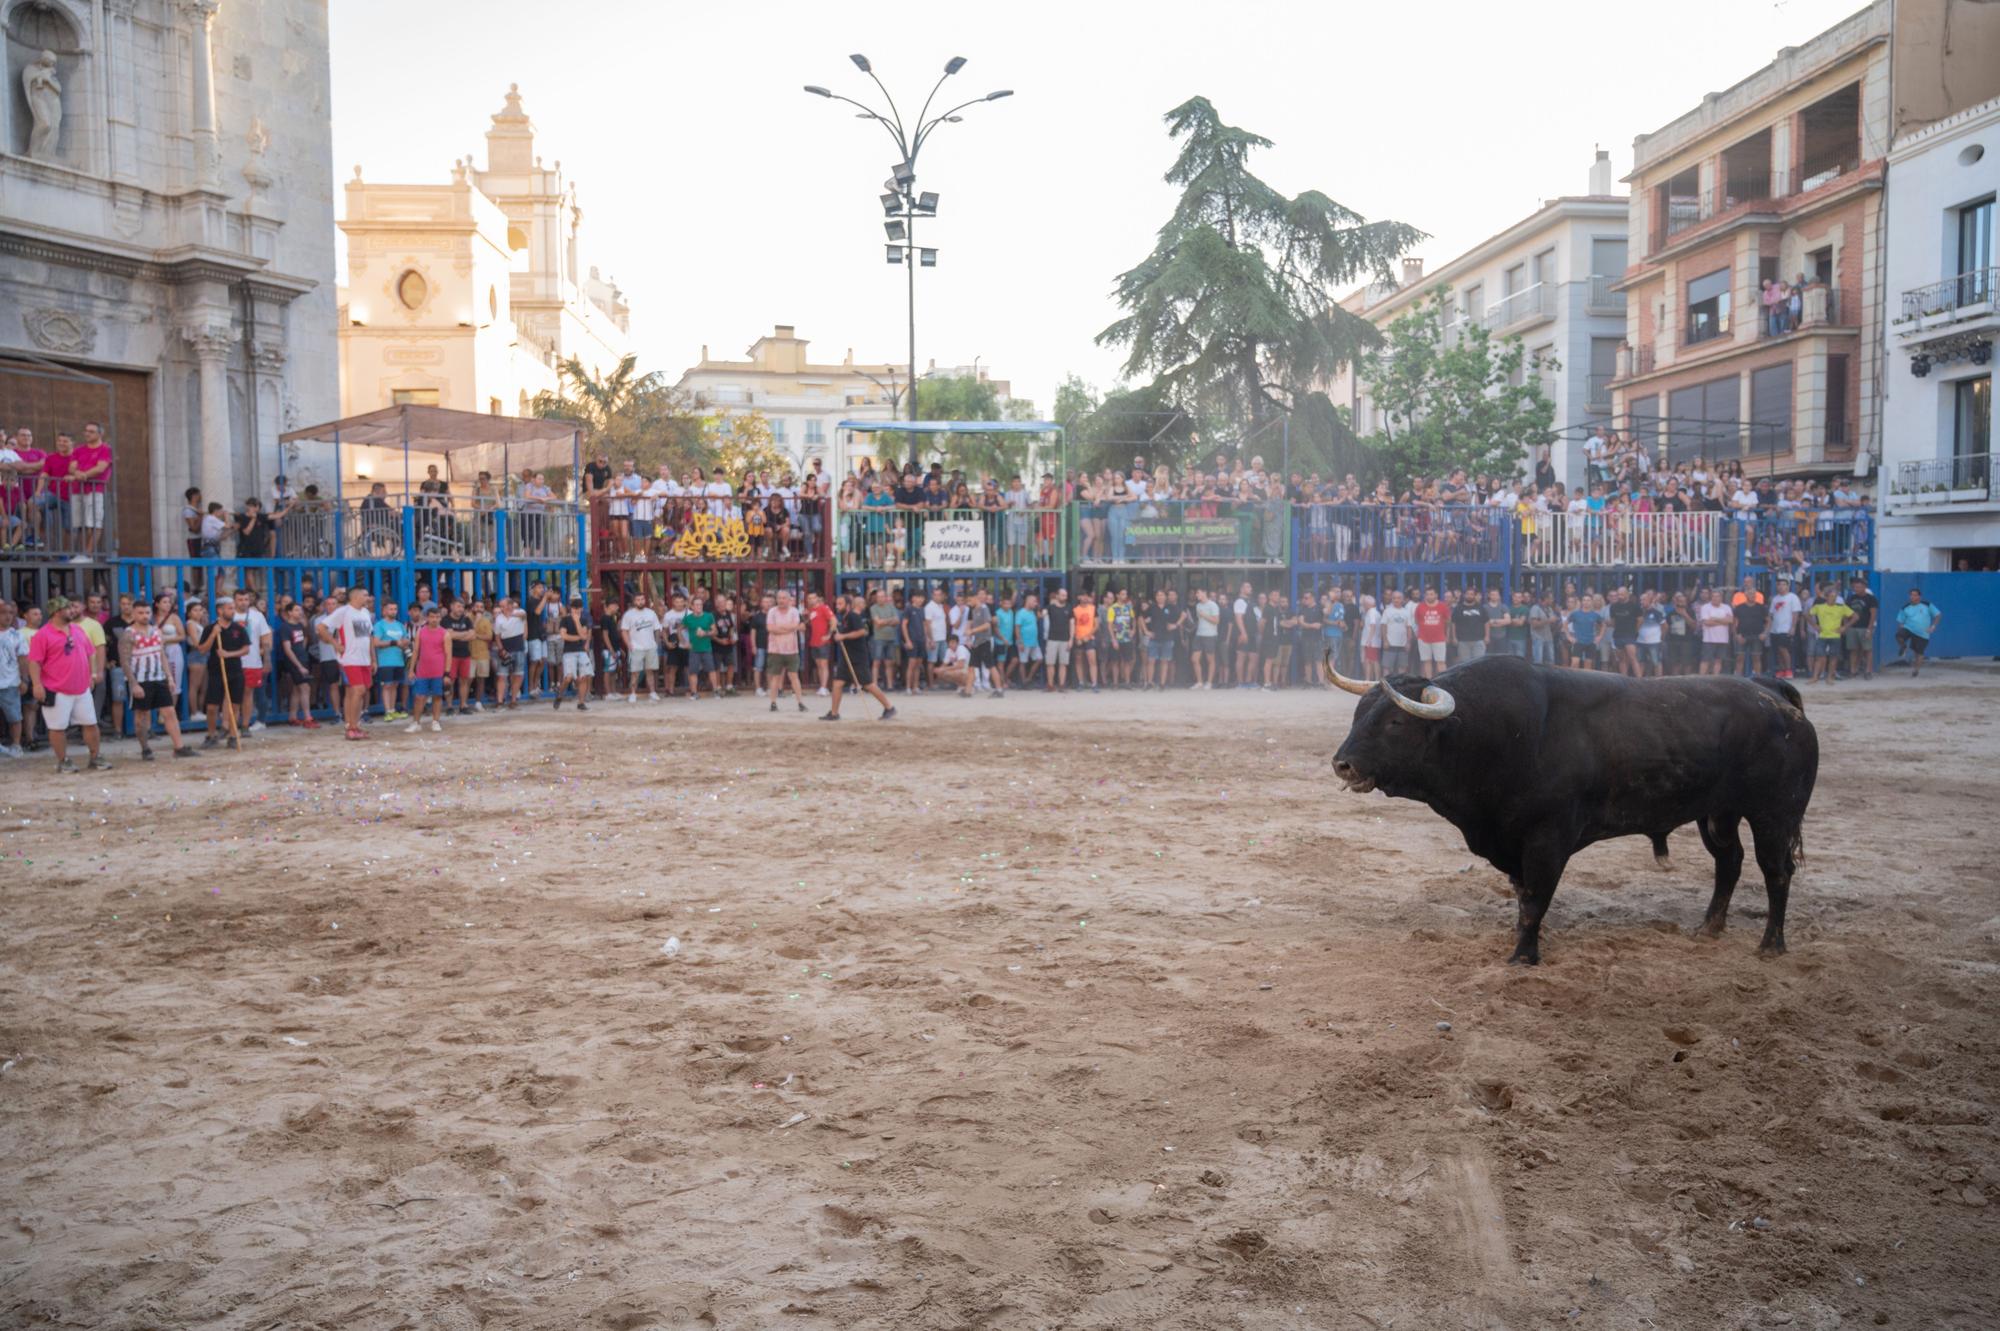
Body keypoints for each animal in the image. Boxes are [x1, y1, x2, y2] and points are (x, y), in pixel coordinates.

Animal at [1328, 651, 1816, 955]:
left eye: (1394, 723)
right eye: (1358, 714)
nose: (1342, 764)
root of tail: (1772, 692)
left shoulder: (1548, 839)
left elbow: (1536, 900)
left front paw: (1522, 956)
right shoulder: (1511, 842)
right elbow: (1523, 897)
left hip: (1774, 815)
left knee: (1776, 872)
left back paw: (1770, 946)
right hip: (1718, 813)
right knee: (1728, 862)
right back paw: (1708, 929)